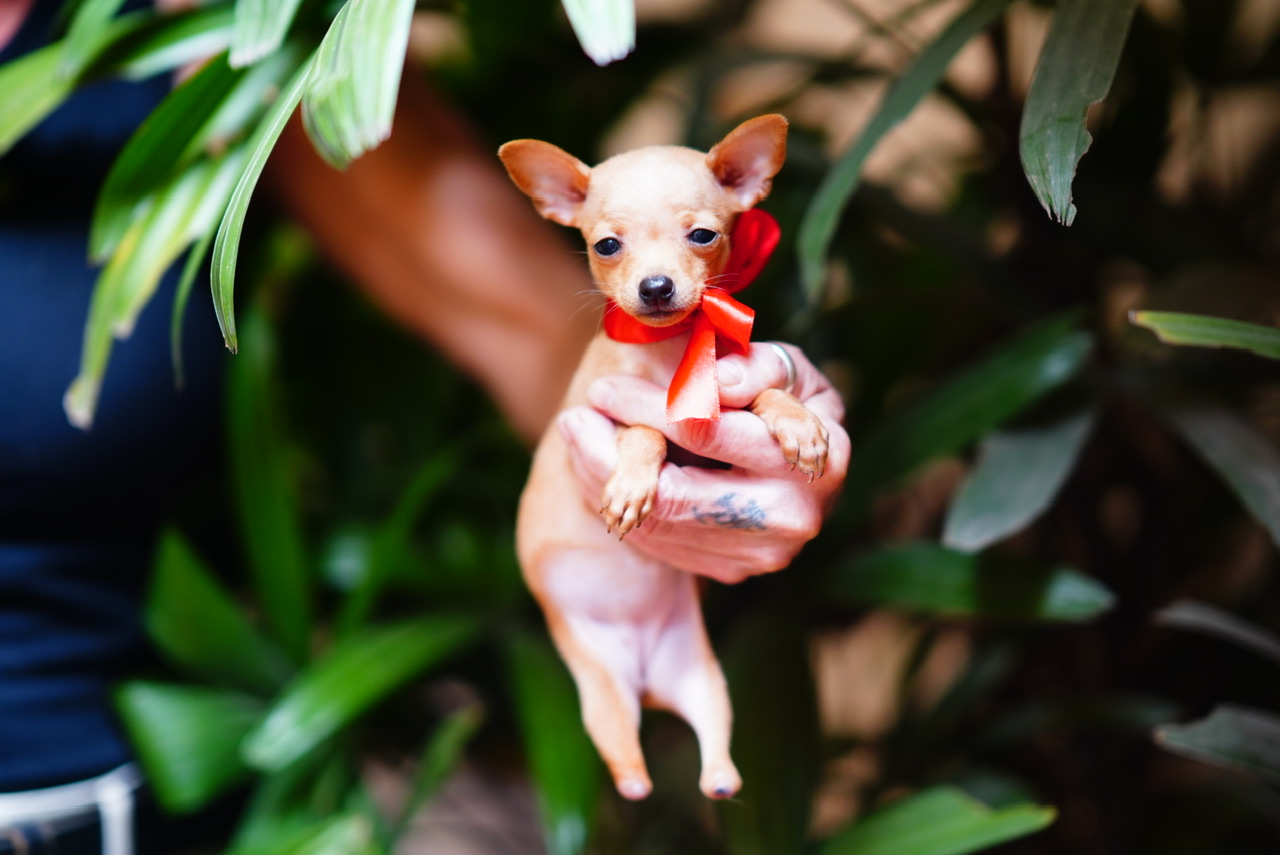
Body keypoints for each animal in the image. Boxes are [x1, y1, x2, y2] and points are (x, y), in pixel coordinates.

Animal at [499, 114, 828, 801]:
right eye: (606, 246)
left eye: (702, 235)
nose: (655, 287)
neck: (670, 349)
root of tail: (650, 687)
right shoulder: (598, 415)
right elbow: (646, 432)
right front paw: (630, 488)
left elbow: (767, 392)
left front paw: (800, 426)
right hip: (600, 695)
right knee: (628, 766)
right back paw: (637, 781)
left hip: (704, 681)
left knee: (716, 750)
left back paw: (722, 780)